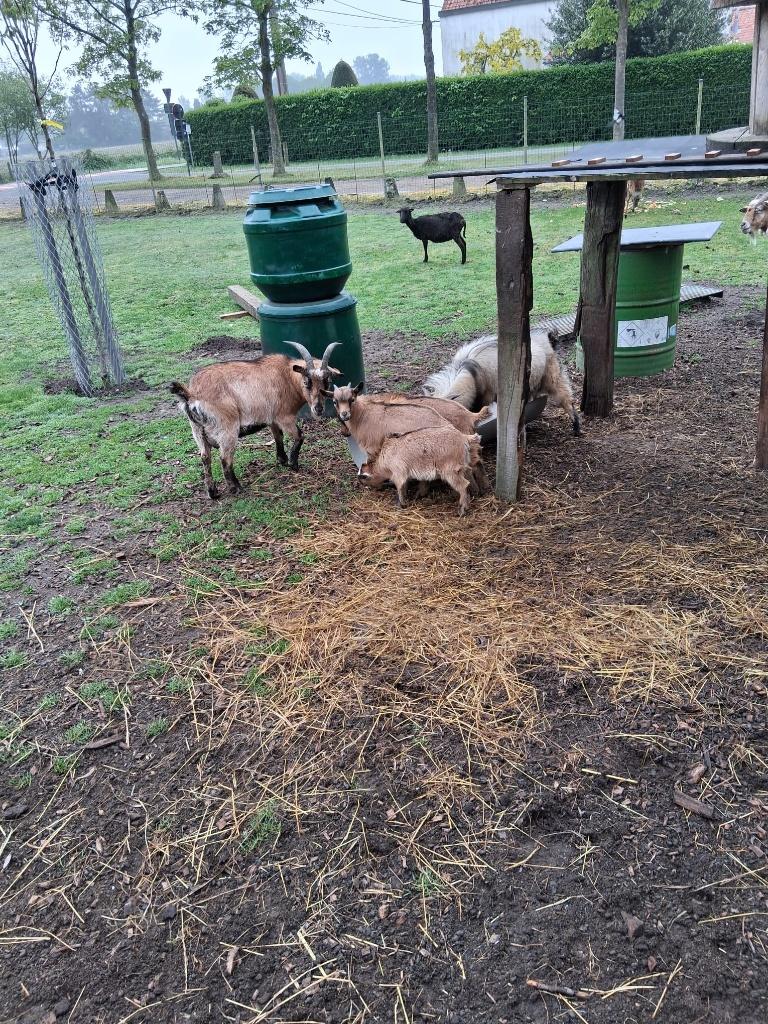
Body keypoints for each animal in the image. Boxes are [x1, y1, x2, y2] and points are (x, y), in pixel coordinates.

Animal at [170, 341, 341, 499]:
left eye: (327, 382)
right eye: (307, 382)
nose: (318, 409)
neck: (287, 377)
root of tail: (191, 394)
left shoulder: (272, 418)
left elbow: (278, 437)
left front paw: (282, 460)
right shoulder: (284, 416)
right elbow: (300, 436)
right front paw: (293, 464)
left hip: (197, 431)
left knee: (205, 457)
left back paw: (213, 492)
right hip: (227, 429)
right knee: (225, 459)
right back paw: (236, 488)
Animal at [422, 329, 581, 435]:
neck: (471, 372)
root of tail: (548, 340)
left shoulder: (489, 396)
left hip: (552, 379)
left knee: (566, 398)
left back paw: (576, 426)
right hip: (531, 386)